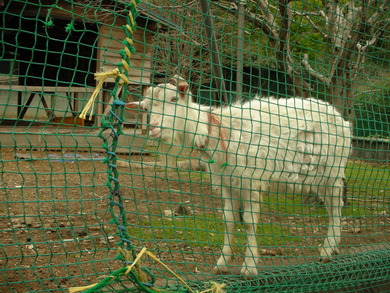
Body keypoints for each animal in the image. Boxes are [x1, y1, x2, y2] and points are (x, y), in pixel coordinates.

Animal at [126, 79, 352, 274]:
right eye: (145, 108)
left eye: (174, 99)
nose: (154, 128)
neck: (217, 131)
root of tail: (340, 117)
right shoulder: (227, 181)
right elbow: (229, 219)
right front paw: (222, 263)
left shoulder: (250, 179)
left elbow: (250, 222)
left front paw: (249, 266)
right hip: (318, 175)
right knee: (332, 206)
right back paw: (333, 248)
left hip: (333, 170)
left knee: (335, 207)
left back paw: (327, 250)